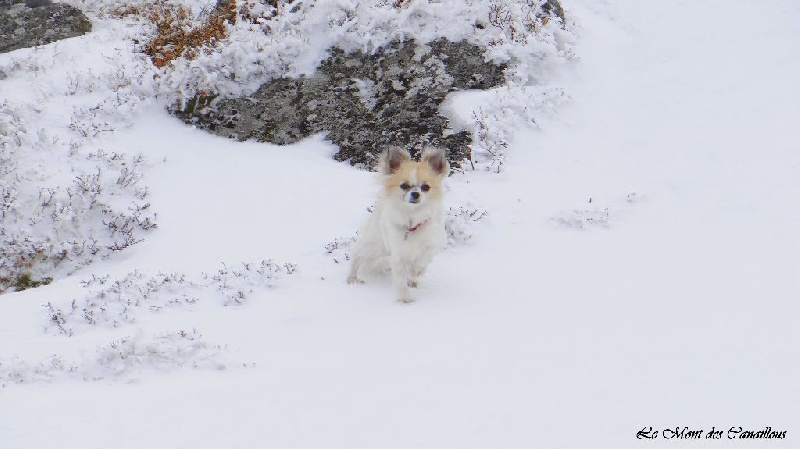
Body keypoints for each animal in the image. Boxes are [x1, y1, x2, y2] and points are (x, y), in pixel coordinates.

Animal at [347, 146, 449, 303]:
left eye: (426, 187)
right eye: (404, 186)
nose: (415, 193)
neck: (412, 221)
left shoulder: (431, 245)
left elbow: (422, 260)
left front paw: (415, 273)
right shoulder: (398, 255)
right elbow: (401, 281)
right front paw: (405, 300)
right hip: (374, 245)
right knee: (357, 257)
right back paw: (352, 278)